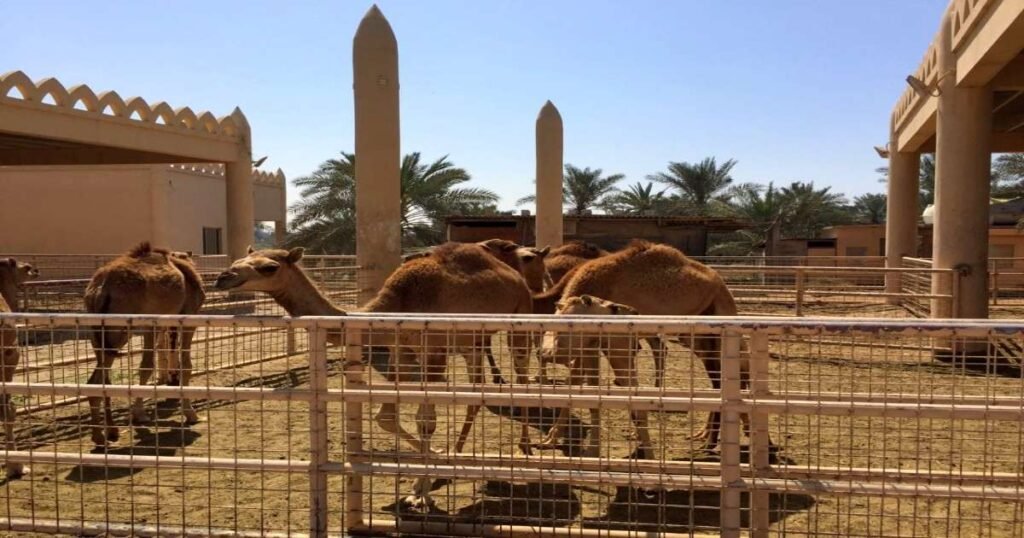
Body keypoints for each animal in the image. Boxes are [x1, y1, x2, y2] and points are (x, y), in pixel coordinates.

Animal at [83, 241, 205, 444]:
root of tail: (101, 289)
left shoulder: (155, 325)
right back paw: (101, 435)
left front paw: (139, 414)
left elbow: (148, 365)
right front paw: (190, 414)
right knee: (98, 378)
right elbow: (183, 366)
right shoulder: (188, 317)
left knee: (100, 378)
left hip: (97, 332)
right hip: (119, 331)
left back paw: (108, 432)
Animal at [216, 241, 536, 508]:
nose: (223, 277)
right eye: (239, 259)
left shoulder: (433, 351)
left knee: (519, 379)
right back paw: (456, 456)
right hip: (472, 340)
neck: (398, 305)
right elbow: (385, 417)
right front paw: (431, 469)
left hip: (518, 320)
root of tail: (516, 276)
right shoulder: (401, 352)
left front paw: (421, 489)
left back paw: (525, 449)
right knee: (475, 394)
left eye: (269, 267)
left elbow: (425, 422)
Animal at [532, 238, 757, 452]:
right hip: (697, 338)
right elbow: (576, 382)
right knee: (722, 379)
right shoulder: (588, 344)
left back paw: (711, 442)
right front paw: (549, 439)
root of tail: (721, 284)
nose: (546, 351)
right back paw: (705, 435)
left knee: (727, 379)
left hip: (715, 330)